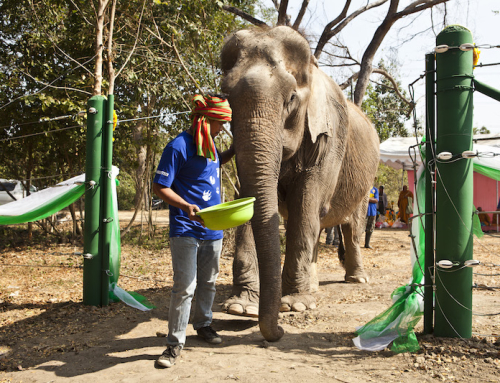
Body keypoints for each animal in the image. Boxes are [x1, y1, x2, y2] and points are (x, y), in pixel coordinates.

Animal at [219, 27, 378, 342]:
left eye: (291, 98)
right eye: (226, 97)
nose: (278, 331)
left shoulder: (329, 137)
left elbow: (305, 206)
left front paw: (293, 306)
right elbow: (250, 199)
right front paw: (240, 307)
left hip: (366, 182)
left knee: (350, 225)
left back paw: (357, 279)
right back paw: (313, 287)